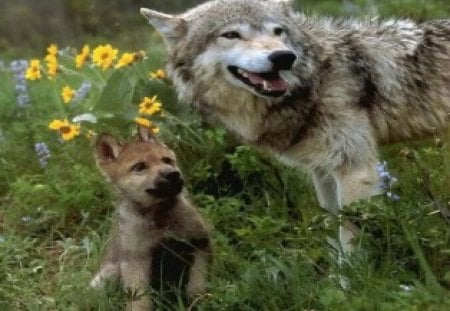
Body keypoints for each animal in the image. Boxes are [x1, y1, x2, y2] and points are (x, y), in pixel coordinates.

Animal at [91, 125, 213, 310]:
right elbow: (140, 300)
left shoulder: (199, 242)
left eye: (167, 160)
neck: (159, 217)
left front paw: (198, 301)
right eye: (139, 167)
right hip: (106, 275)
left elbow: (197, 281)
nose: (173, 174)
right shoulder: (136, 259)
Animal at [141, 0, 450, 264]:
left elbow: (350, 246)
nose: (283, 56)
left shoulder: (355, 171)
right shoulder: (324, 172)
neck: (316, 79)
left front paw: (352, 288)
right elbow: (333, 235)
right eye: (231, 34)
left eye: (278, 31)